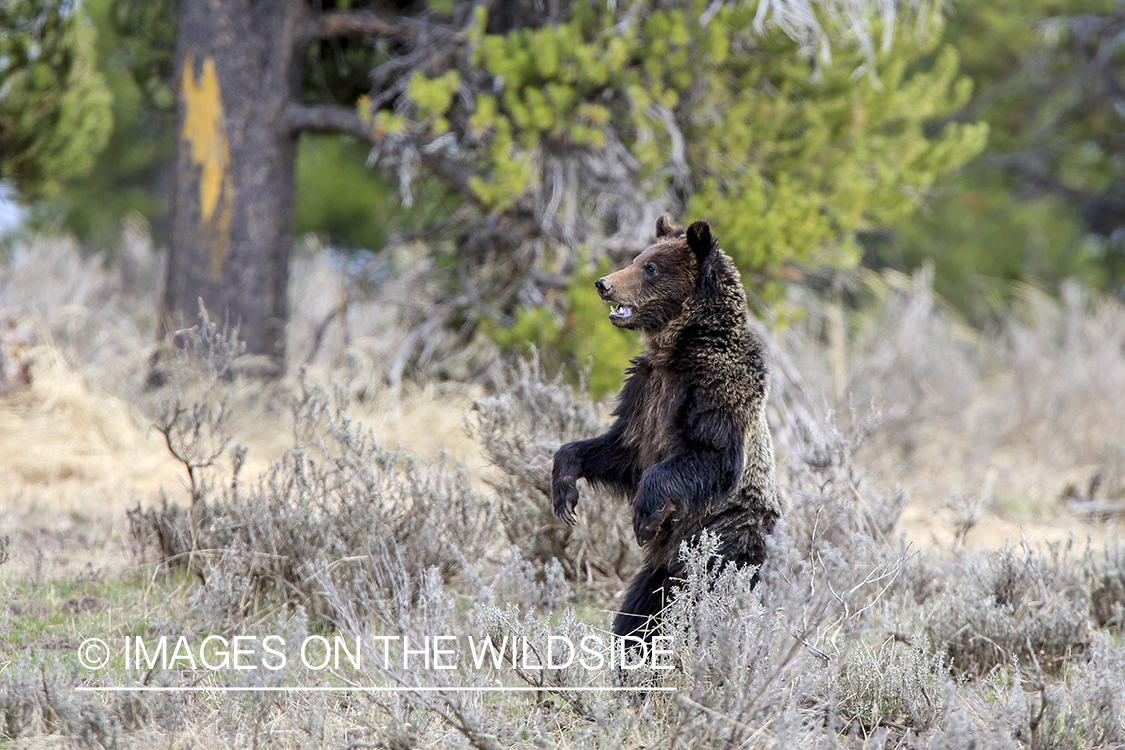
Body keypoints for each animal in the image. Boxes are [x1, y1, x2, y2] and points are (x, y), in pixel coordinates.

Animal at [551, 215, 781, 641]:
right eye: (637, 258)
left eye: (650, 268)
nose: (603, 283)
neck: (678, 348)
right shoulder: (644, 392)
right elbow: (620, 450)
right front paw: (565, 492)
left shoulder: (717, 388)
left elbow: (709, 454)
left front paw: (644, 517)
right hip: (657, 575)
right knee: (638, 618)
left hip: (721, 542)